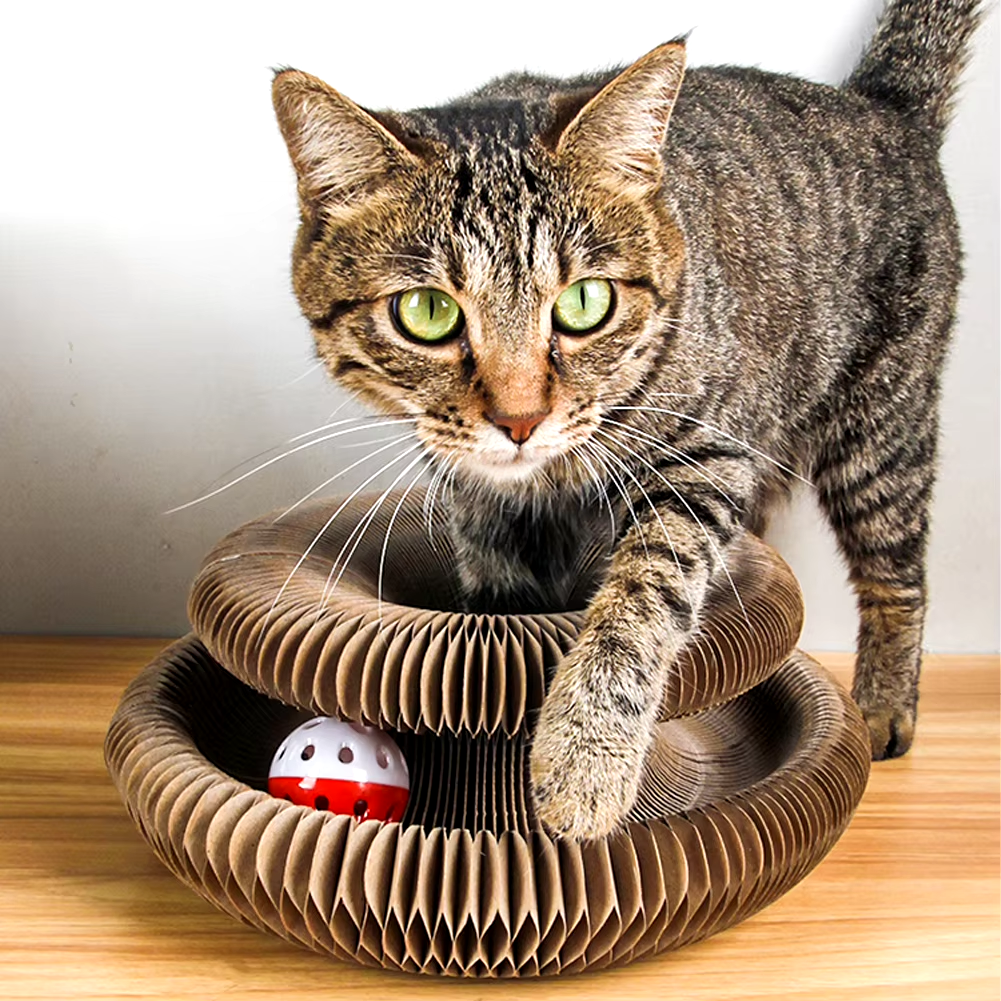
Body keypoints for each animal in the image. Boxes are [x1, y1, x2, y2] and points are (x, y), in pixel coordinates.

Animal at [270, 0, 980, 840]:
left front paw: (586, 755)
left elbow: (640, 600)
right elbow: (499, 615)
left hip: (877, 432)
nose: (520, 419)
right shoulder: (486, 512)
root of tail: (880, 103)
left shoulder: (703, 458)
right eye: (428, 312)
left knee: (897, 573)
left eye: (585, 302)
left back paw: (882, 704)